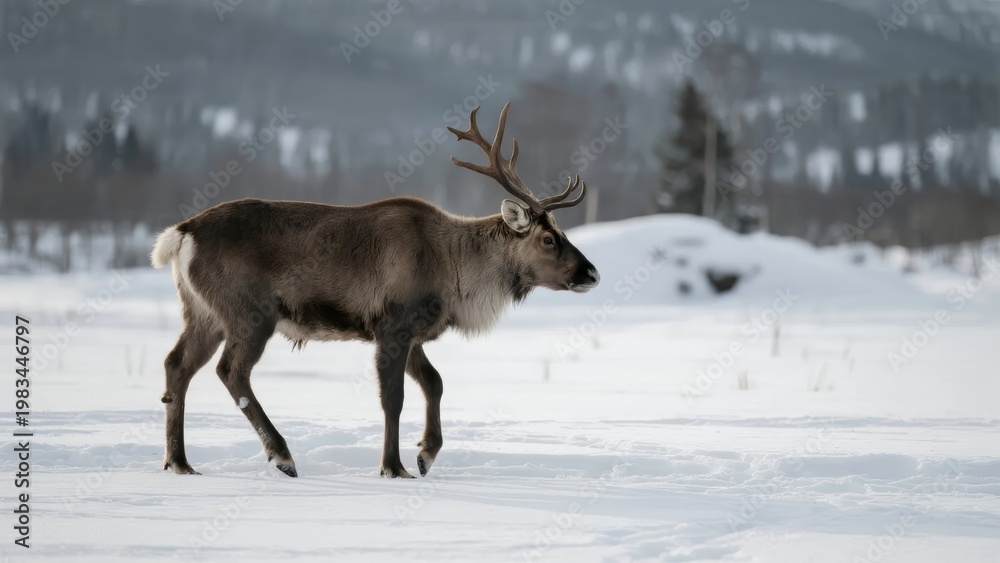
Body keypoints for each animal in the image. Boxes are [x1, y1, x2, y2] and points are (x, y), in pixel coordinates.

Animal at [150, 102, 599, 478]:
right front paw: (393, 466)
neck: (454, 273)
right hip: (249, 312)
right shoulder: (393, 325)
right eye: (548, 239)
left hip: (203, 312)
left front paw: (426, 454)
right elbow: (393, 397)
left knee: (177, 365)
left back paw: (179, 462)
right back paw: (281, 455)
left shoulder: (411, 331)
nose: (591, 272)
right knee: (231, 371)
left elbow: (435, 382)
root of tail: (181, 234)